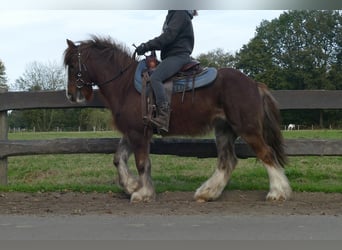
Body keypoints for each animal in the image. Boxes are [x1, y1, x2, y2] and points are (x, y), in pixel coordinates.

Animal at [62, 35, 290, 203]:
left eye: (72, 66)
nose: (71, 95)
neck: (125, 84)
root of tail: (253, 84)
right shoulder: (132, 131)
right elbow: (119, 159)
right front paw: (131, 185)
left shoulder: (138, 133)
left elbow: (142, 163)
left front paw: (143, 193)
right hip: (224, 130)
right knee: (228, 161)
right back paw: (208, 192)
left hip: (247, 128)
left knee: (266, 154)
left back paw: (278, 192)